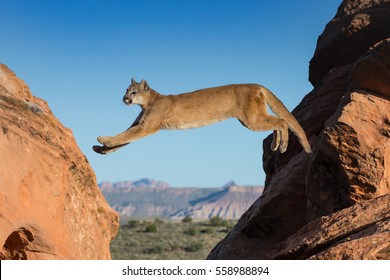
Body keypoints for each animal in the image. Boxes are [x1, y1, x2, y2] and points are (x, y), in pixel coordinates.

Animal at [93, 79, 312, 154]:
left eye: (133, 92)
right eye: (126, 90)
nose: (124, 99)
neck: (149, 101)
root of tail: (257, 84)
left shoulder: (147, 127)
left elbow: (124, 136)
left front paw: (103, 139)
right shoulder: (140, 125)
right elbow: (124, 139)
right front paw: (102, 149)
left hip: (252, 120)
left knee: (282, 121)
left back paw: (282, 146)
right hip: (252, 118)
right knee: (277, 123)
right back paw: (276, 144)